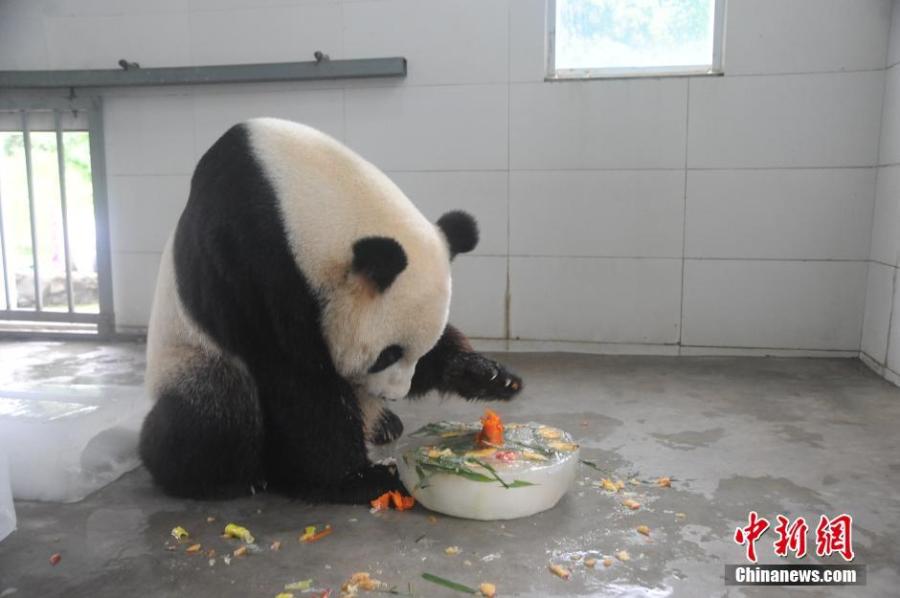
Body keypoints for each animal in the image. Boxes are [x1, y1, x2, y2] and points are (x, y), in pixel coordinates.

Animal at [139, 118, 523, 503]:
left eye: (417, 352)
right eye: (387, 355)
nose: (393, 394)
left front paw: (489, 375)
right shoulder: (249, 262)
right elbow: (297, 375)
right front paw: (359, 477)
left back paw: (385, 424)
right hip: (193, 356)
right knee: (216, 411)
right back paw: (216, 476)